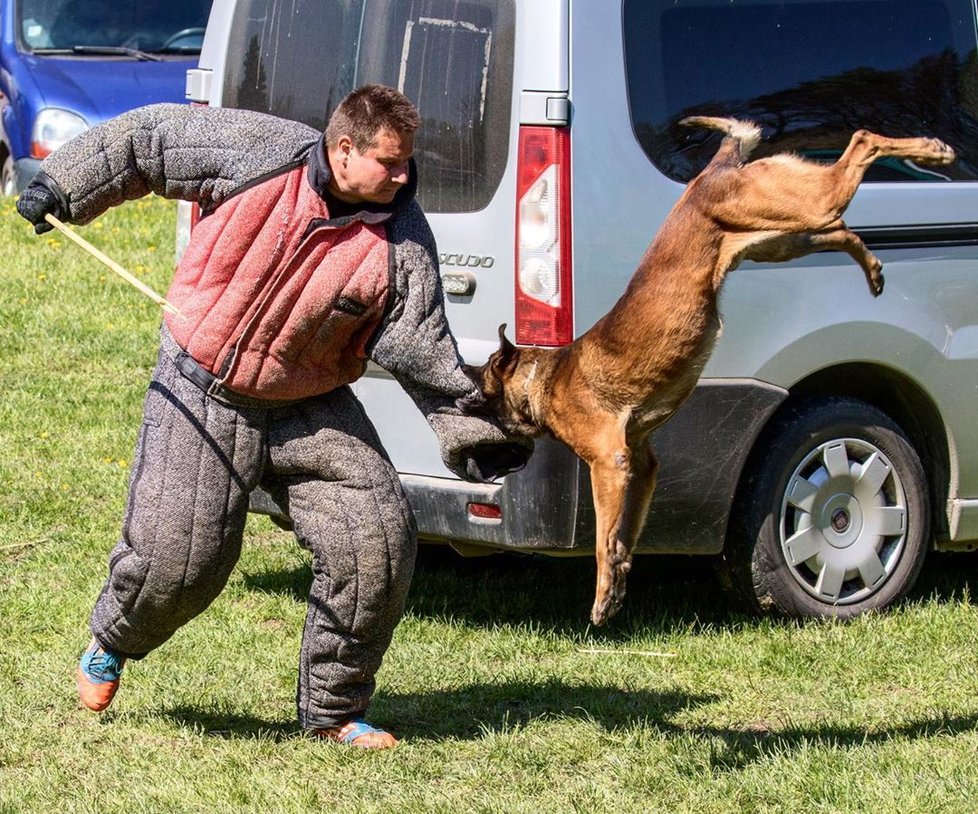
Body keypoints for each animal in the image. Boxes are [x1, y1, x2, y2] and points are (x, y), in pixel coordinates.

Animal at [466, 116, 952, 624]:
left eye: (482, 390)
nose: (461, 398)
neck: (545, 379)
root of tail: (712, 170)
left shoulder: (609, 462)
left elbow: (603, 538)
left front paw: (602, 595)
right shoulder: (641, 465)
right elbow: (623, 536)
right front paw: (617, 585)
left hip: (795, 212)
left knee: (860, 144)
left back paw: (932, 150)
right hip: (785, 235)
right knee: (841, 223)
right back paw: (875, 262)